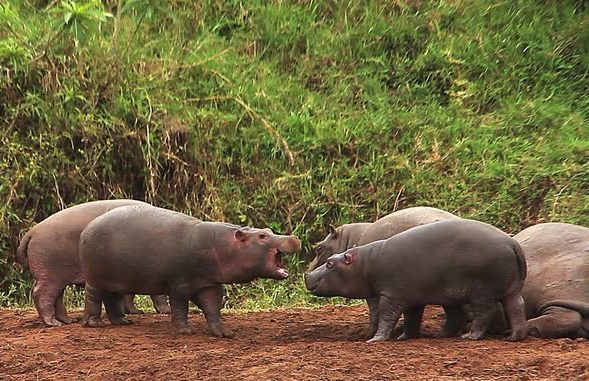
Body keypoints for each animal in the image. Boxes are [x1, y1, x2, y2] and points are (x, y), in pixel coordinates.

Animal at [14, 199, 170, 326]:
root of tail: (31, 232)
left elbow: (129, 294)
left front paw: (136, 312)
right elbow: (157, 295)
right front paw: (166, 311)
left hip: (57, 276)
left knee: (57, 297)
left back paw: (68, 321)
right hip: (50, 274)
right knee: (42, 294)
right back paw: (53, 323)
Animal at [78, 205, 300, 336]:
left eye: (269, 231)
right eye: (262, 236)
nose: (294, 237)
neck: (222, 246)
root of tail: (87, 227)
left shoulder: (209, 284)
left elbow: (212, 308)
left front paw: (224, 332)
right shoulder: (179, 284)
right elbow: (179, 307)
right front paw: (185, 331)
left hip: (116, 278)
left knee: (112, 298)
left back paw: (123, 321)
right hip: (95, 278)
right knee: (93, 297)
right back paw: (95, 324)